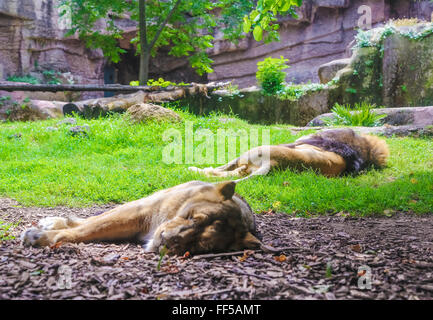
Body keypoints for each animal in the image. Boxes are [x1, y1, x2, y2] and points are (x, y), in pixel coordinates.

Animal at [21, 181, 264, 254]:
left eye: (198, 245)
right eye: (194, 219)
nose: (165, 240)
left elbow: (89, 229)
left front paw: (40, 236)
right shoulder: (141, 212)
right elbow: (87, 228)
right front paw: (37, 236)